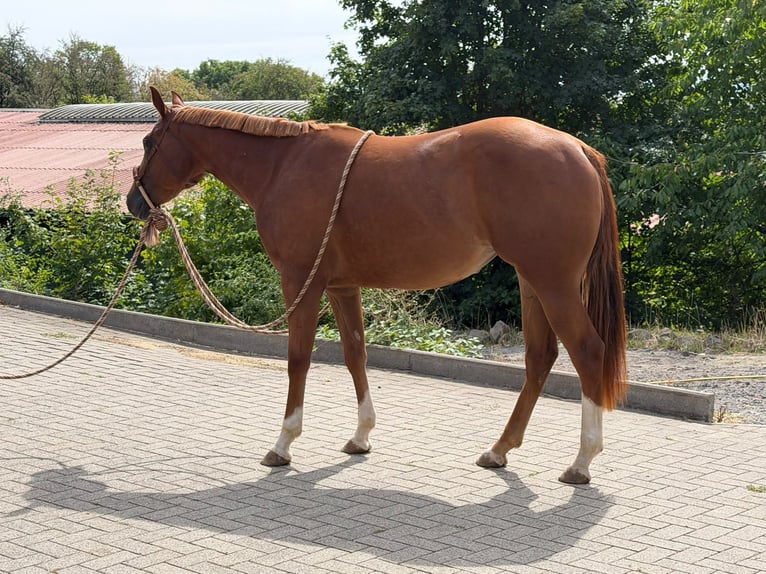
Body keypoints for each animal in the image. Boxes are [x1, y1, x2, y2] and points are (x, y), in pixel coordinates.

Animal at [127, 87, 627, 485]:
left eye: (150, 141)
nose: (133, 202)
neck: (283, 166)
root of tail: (578, 149)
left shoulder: (300, 283)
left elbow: (298, 360)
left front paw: (283, 444)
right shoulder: (342, 287)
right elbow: (355, 354)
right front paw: (361, 436)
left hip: (554, 283)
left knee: (588, 352)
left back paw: (581, 462)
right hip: (532, 281)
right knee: (540, 358)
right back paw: (499, 450)